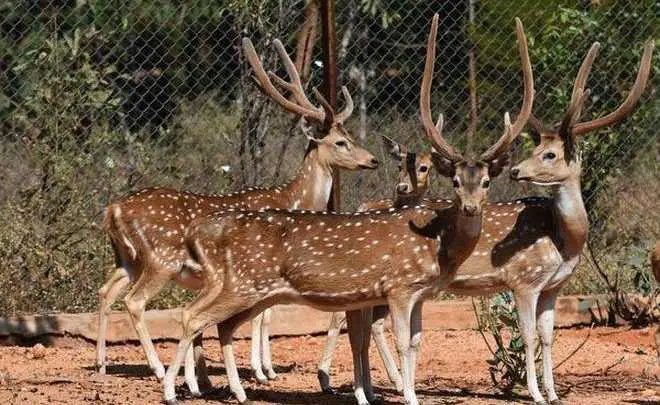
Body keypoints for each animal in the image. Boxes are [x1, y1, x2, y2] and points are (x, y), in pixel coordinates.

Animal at [96, 36, 379, 384]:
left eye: (350, 135)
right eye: (340, 142)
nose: (372, 160)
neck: (293, 199)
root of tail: (114, 209)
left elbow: (264, 315)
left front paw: (262, 369)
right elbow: (264, 318)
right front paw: (263, 371)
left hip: (127, 258)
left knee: (106, 291)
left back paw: (103, 365)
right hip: (161, 259)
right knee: (134, 301)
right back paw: (159, 369)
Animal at [161, 13, 533, 405]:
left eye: (487, 182)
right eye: (456, 182)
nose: (472, 208)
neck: (437, 245)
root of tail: (205, 230)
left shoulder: (417, 293)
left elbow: (412, 342)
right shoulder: (399, 286)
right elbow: (401, 343)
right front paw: (406, 394)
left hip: (249, 289)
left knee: (220, 324)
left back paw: (233, 390)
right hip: (241, 283)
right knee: (192, 316)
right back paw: (174, 390)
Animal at [331, 36, 654, 405]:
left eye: (549, 154)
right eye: (537, 150)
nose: (516, 170)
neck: (565, 240)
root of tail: (361, 206)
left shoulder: (554, 286)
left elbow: (548, 336)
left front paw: (554, 393)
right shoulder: (524, 279)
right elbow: (528, 336)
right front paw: (536, 393)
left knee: (362, 325)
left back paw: (373, 389)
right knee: (359, 324)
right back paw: (379, 386)